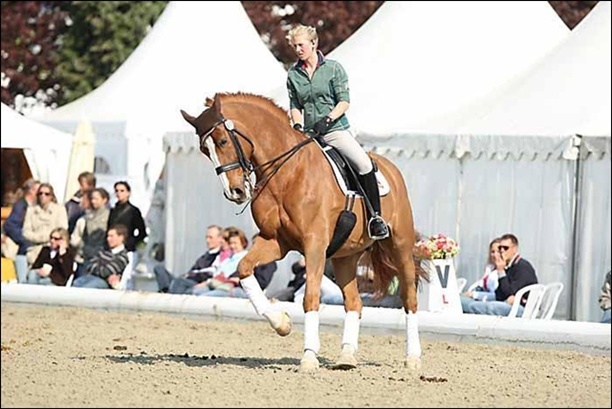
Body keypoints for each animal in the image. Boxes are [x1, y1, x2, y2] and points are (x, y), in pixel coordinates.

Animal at [179, 93, 424, 372]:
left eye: (222, 141)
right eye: (204, 150)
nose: (235, 192)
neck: (286, 174)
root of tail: (390, 167)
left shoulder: (314, 245)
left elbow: (310, 297)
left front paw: (308, 356)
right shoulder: (275, 242)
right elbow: (243, 268)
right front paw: (281, 323)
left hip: (400, 246)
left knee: (409, 297)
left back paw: (412, 357)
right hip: (345, 256)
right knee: (354, 302)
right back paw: (346, 356)